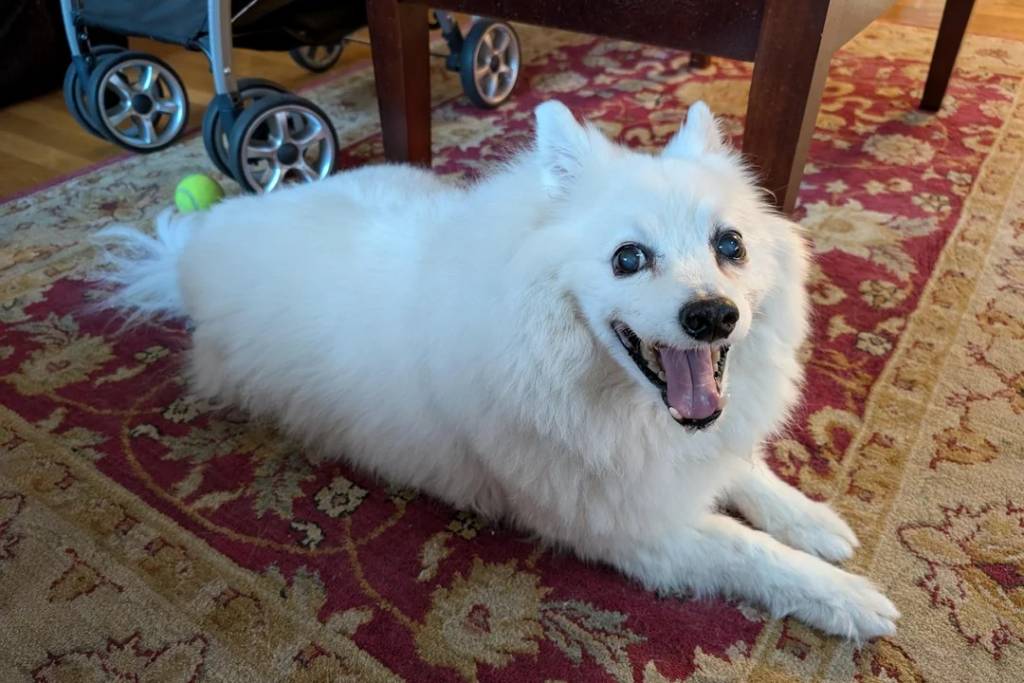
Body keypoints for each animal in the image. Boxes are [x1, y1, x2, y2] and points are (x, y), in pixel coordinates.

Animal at [95, 100, 898, 640]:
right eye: (628, 258)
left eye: (730, 245)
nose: (711, 316)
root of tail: (194, 250)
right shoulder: (639, 532)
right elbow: (748, 548)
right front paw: (849, 597)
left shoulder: (693, 453)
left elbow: (747, 470)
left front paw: (815, 520)